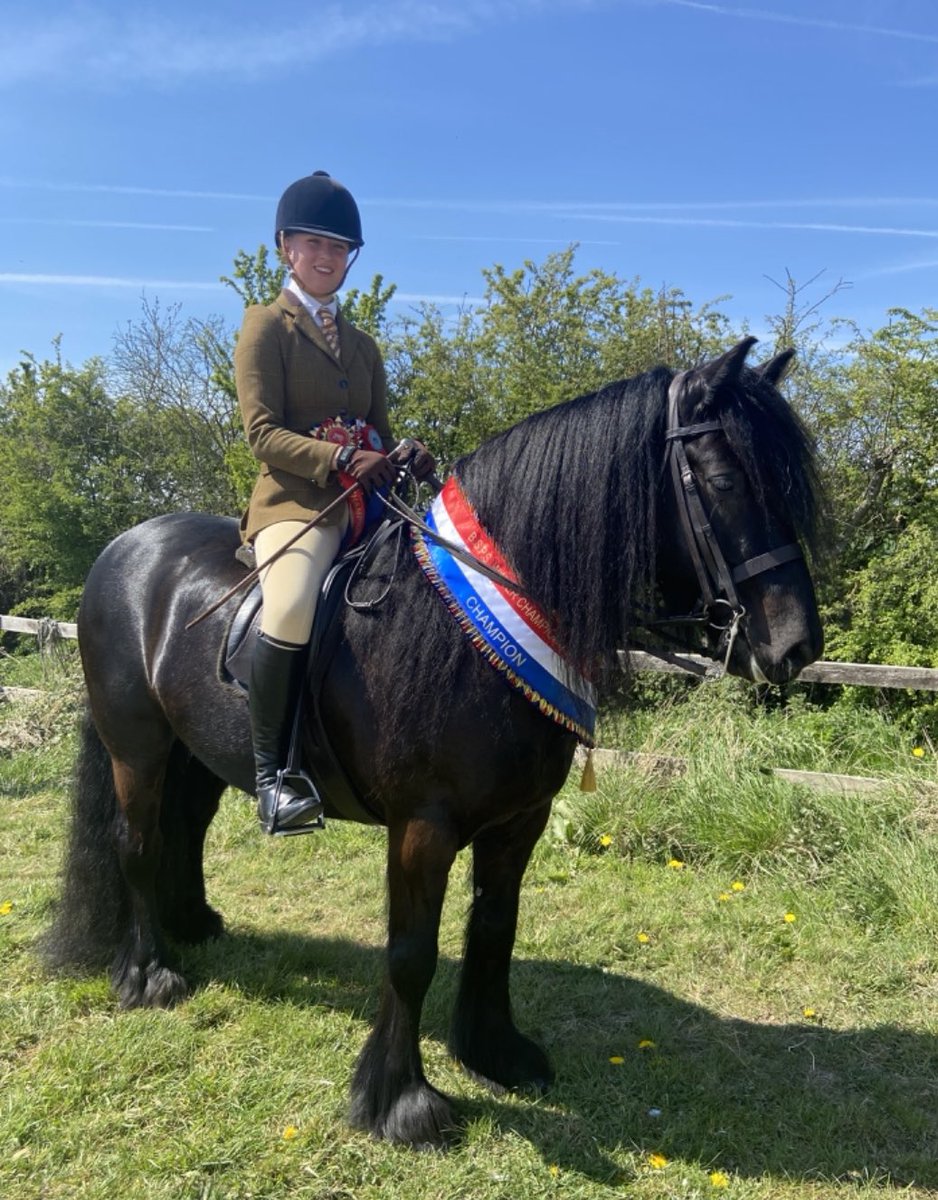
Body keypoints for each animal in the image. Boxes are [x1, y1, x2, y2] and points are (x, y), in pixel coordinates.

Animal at [44, 337, 824, 1147]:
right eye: (725, 480)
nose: (797, 648)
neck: (473, 627)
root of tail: (127, 547)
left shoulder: (519, 821)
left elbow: (495, 929)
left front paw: (494, 1051)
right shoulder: (423, 825)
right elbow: (411, 952)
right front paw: (400, 1100)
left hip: (197, 751)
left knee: (184, 831)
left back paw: (193, 926)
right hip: (137, 746)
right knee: (137, 841)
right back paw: (148, 975)